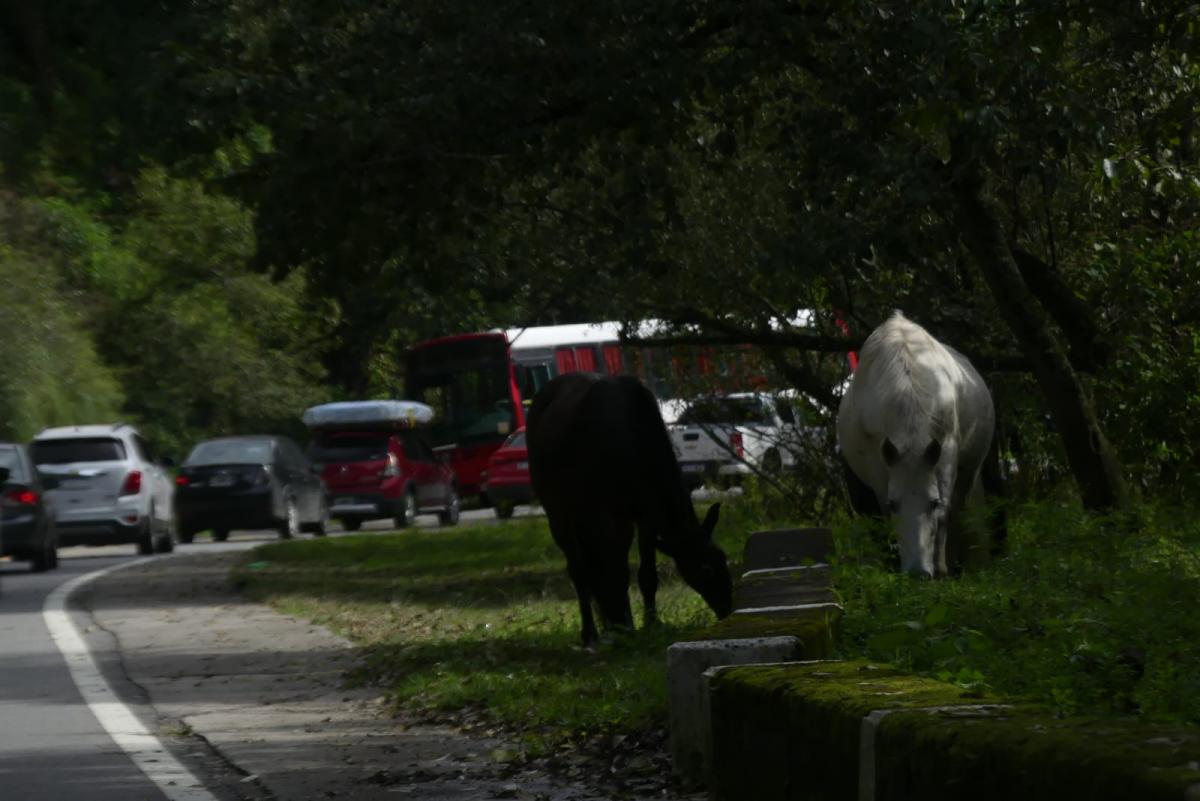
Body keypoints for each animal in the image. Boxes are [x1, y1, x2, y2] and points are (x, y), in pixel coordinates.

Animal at [530, 371, 734, 647]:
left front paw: (649, 622)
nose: (728, 608)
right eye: (705, 568)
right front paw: (622, 624)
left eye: (723, 557)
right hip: (558, 511)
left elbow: (645, 574)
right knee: (579, 570)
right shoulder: (604, 512)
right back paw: (591, 632)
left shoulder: (644, 514)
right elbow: (614, 569)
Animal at [835, 309, 993, 577]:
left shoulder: (946, 452)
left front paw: (940, 565)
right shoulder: (878, 465)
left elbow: (946, 510)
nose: (918, 572)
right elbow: (884, 513)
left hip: (969, 473)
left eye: (932, 502)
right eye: (894, 504)